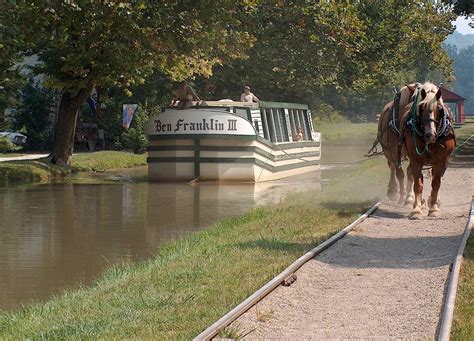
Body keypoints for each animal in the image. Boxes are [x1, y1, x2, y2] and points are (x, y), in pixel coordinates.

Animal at [400, 82, 456, 218]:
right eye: (421, 109)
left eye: (440, 109)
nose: (430, 135)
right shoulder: (415, 160)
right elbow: (418, 184)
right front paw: (416, 209)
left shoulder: (441, 161)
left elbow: (436, 183)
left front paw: (434, 208)